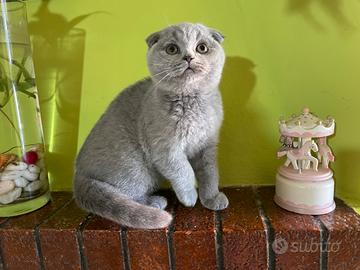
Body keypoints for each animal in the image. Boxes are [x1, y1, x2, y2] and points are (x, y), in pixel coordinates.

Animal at [74, 22, 229, 228]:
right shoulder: (165, 149)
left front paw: (211, 198)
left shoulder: (207, 145)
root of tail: (78, 175)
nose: (188, 57)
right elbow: (184, 171)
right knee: (124, 196)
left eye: (202, 48)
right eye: (172, 49)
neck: (192, 103)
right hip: (135, 167)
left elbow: (210, 173)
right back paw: (154, 202)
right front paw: (189, 197)